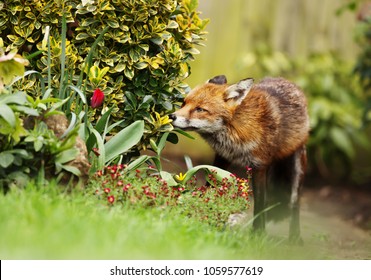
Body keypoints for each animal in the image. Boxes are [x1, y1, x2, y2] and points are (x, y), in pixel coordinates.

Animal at [171, 75, 310, 243]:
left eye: (200, 109)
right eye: (184, 103)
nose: (171, 116)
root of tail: (287, 81)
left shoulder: (259, 166)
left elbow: (259, 203)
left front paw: (258, 234)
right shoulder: (222, 158)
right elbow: (210, 187)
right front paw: (204, 215)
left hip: (297, 169)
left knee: (294, 203)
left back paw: (295, 236)